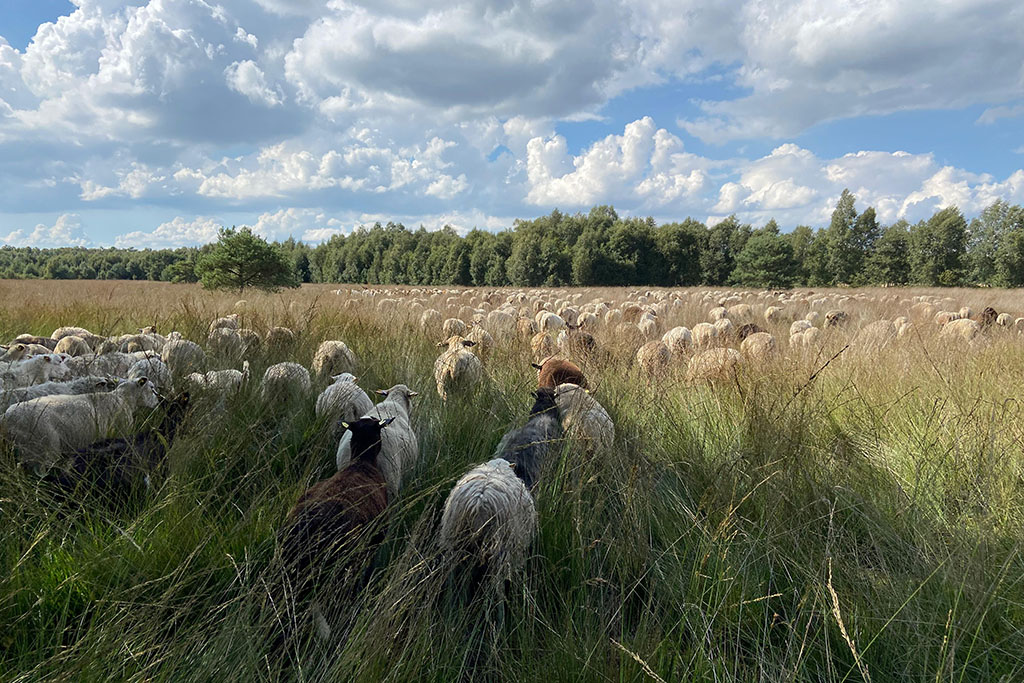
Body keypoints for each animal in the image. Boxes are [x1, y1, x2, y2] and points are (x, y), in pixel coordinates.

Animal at [2, 376, 159, 474]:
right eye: (151, 388)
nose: (158, 402)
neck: (123, 398)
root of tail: (6, 418)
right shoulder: (122, 431)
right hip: (43, 451)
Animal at [438, 458, 537, 595]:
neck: (497, 467)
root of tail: (479, 501)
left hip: (456, 542)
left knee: (454, 572)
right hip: (500, 548)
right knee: (497, 582)